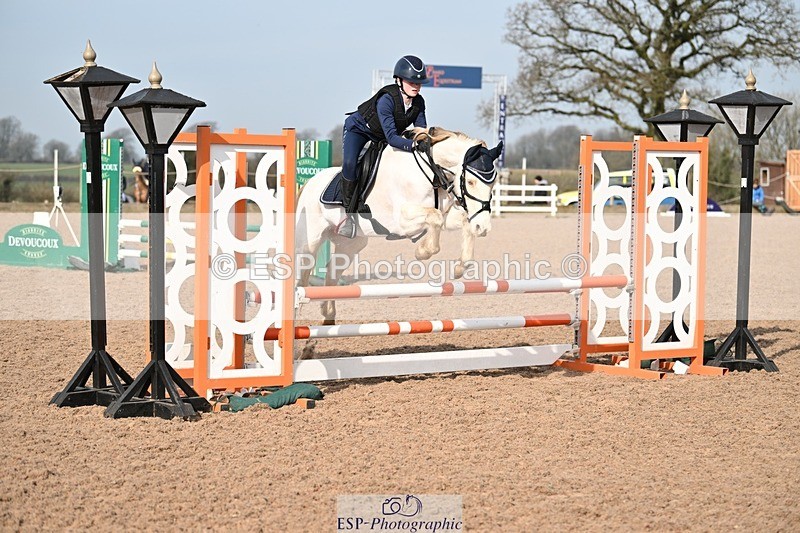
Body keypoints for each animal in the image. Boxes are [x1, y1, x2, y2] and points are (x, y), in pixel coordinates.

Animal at [295, 126, 503, 324]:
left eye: (493, 185)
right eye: (471, 181)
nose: (483, 228)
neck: (431, 172)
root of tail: (308, 184)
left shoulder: (446, 216)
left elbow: (460, 221)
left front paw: (460, 267)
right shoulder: (400, 221)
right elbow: (434, 218)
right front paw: (422, 252)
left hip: (351, 244)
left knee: (331, 272)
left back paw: (328, 315)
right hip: (311, 241)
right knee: (301, 277)